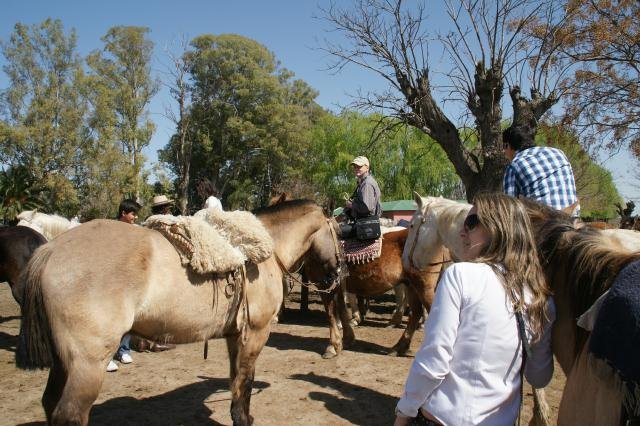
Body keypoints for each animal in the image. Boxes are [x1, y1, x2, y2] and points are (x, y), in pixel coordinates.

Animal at [16, 200, 344, 426]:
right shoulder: (256, 332)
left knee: (49, 403)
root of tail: (50, 251)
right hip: (87, 364)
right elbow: (246, 379)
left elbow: (235, 379)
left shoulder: (234, 335)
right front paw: (243, 419)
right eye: (339, 232)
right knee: (69, 414)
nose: (338, 272)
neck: (265, 251)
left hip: (63, 362)